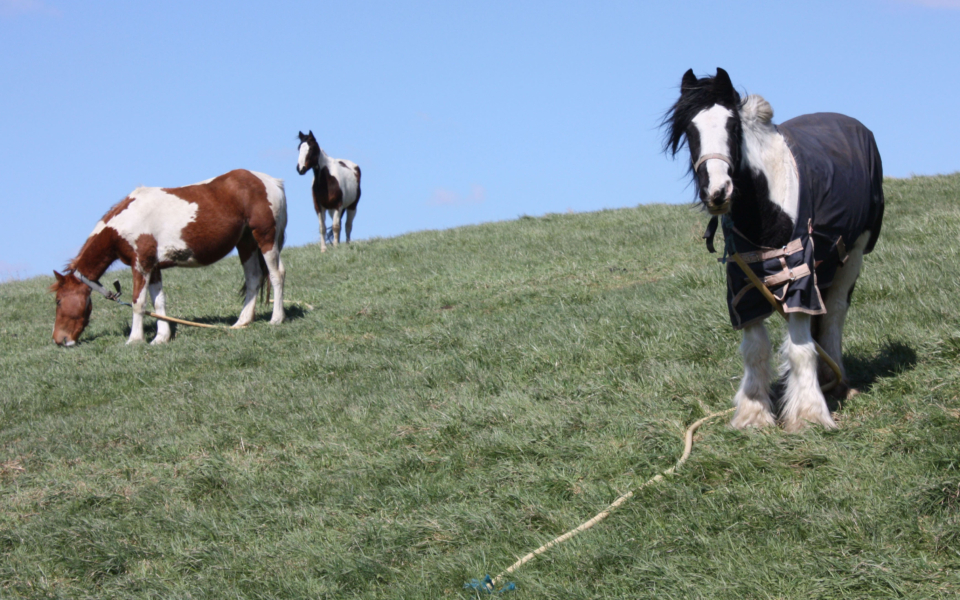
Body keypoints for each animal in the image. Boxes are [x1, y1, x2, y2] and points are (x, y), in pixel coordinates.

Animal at [51, 169, 287, 346]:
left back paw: (276, 319)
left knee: (277, 274)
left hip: (266, 238)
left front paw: (134, 340)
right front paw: (161, 337)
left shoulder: (141, 265)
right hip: (246, 243)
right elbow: (159, 302)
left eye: (58, 300)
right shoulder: (154, 267)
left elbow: (139, 302)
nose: (59, 339)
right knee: (254, 279)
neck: (126, 221)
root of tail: (271, 182)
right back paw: (242, 322)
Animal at [663, 68, 884, 432]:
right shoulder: (744, 286)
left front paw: (809, 415)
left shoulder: (800, 277)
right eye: (690, 131)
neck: (766, 209)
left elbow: (800, 348)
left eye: (732, 127)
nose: (718, 192)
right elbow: (755, 349)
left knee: (835, 312)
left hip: (853, 253)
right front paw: (753, 415)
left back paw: (835, 382)